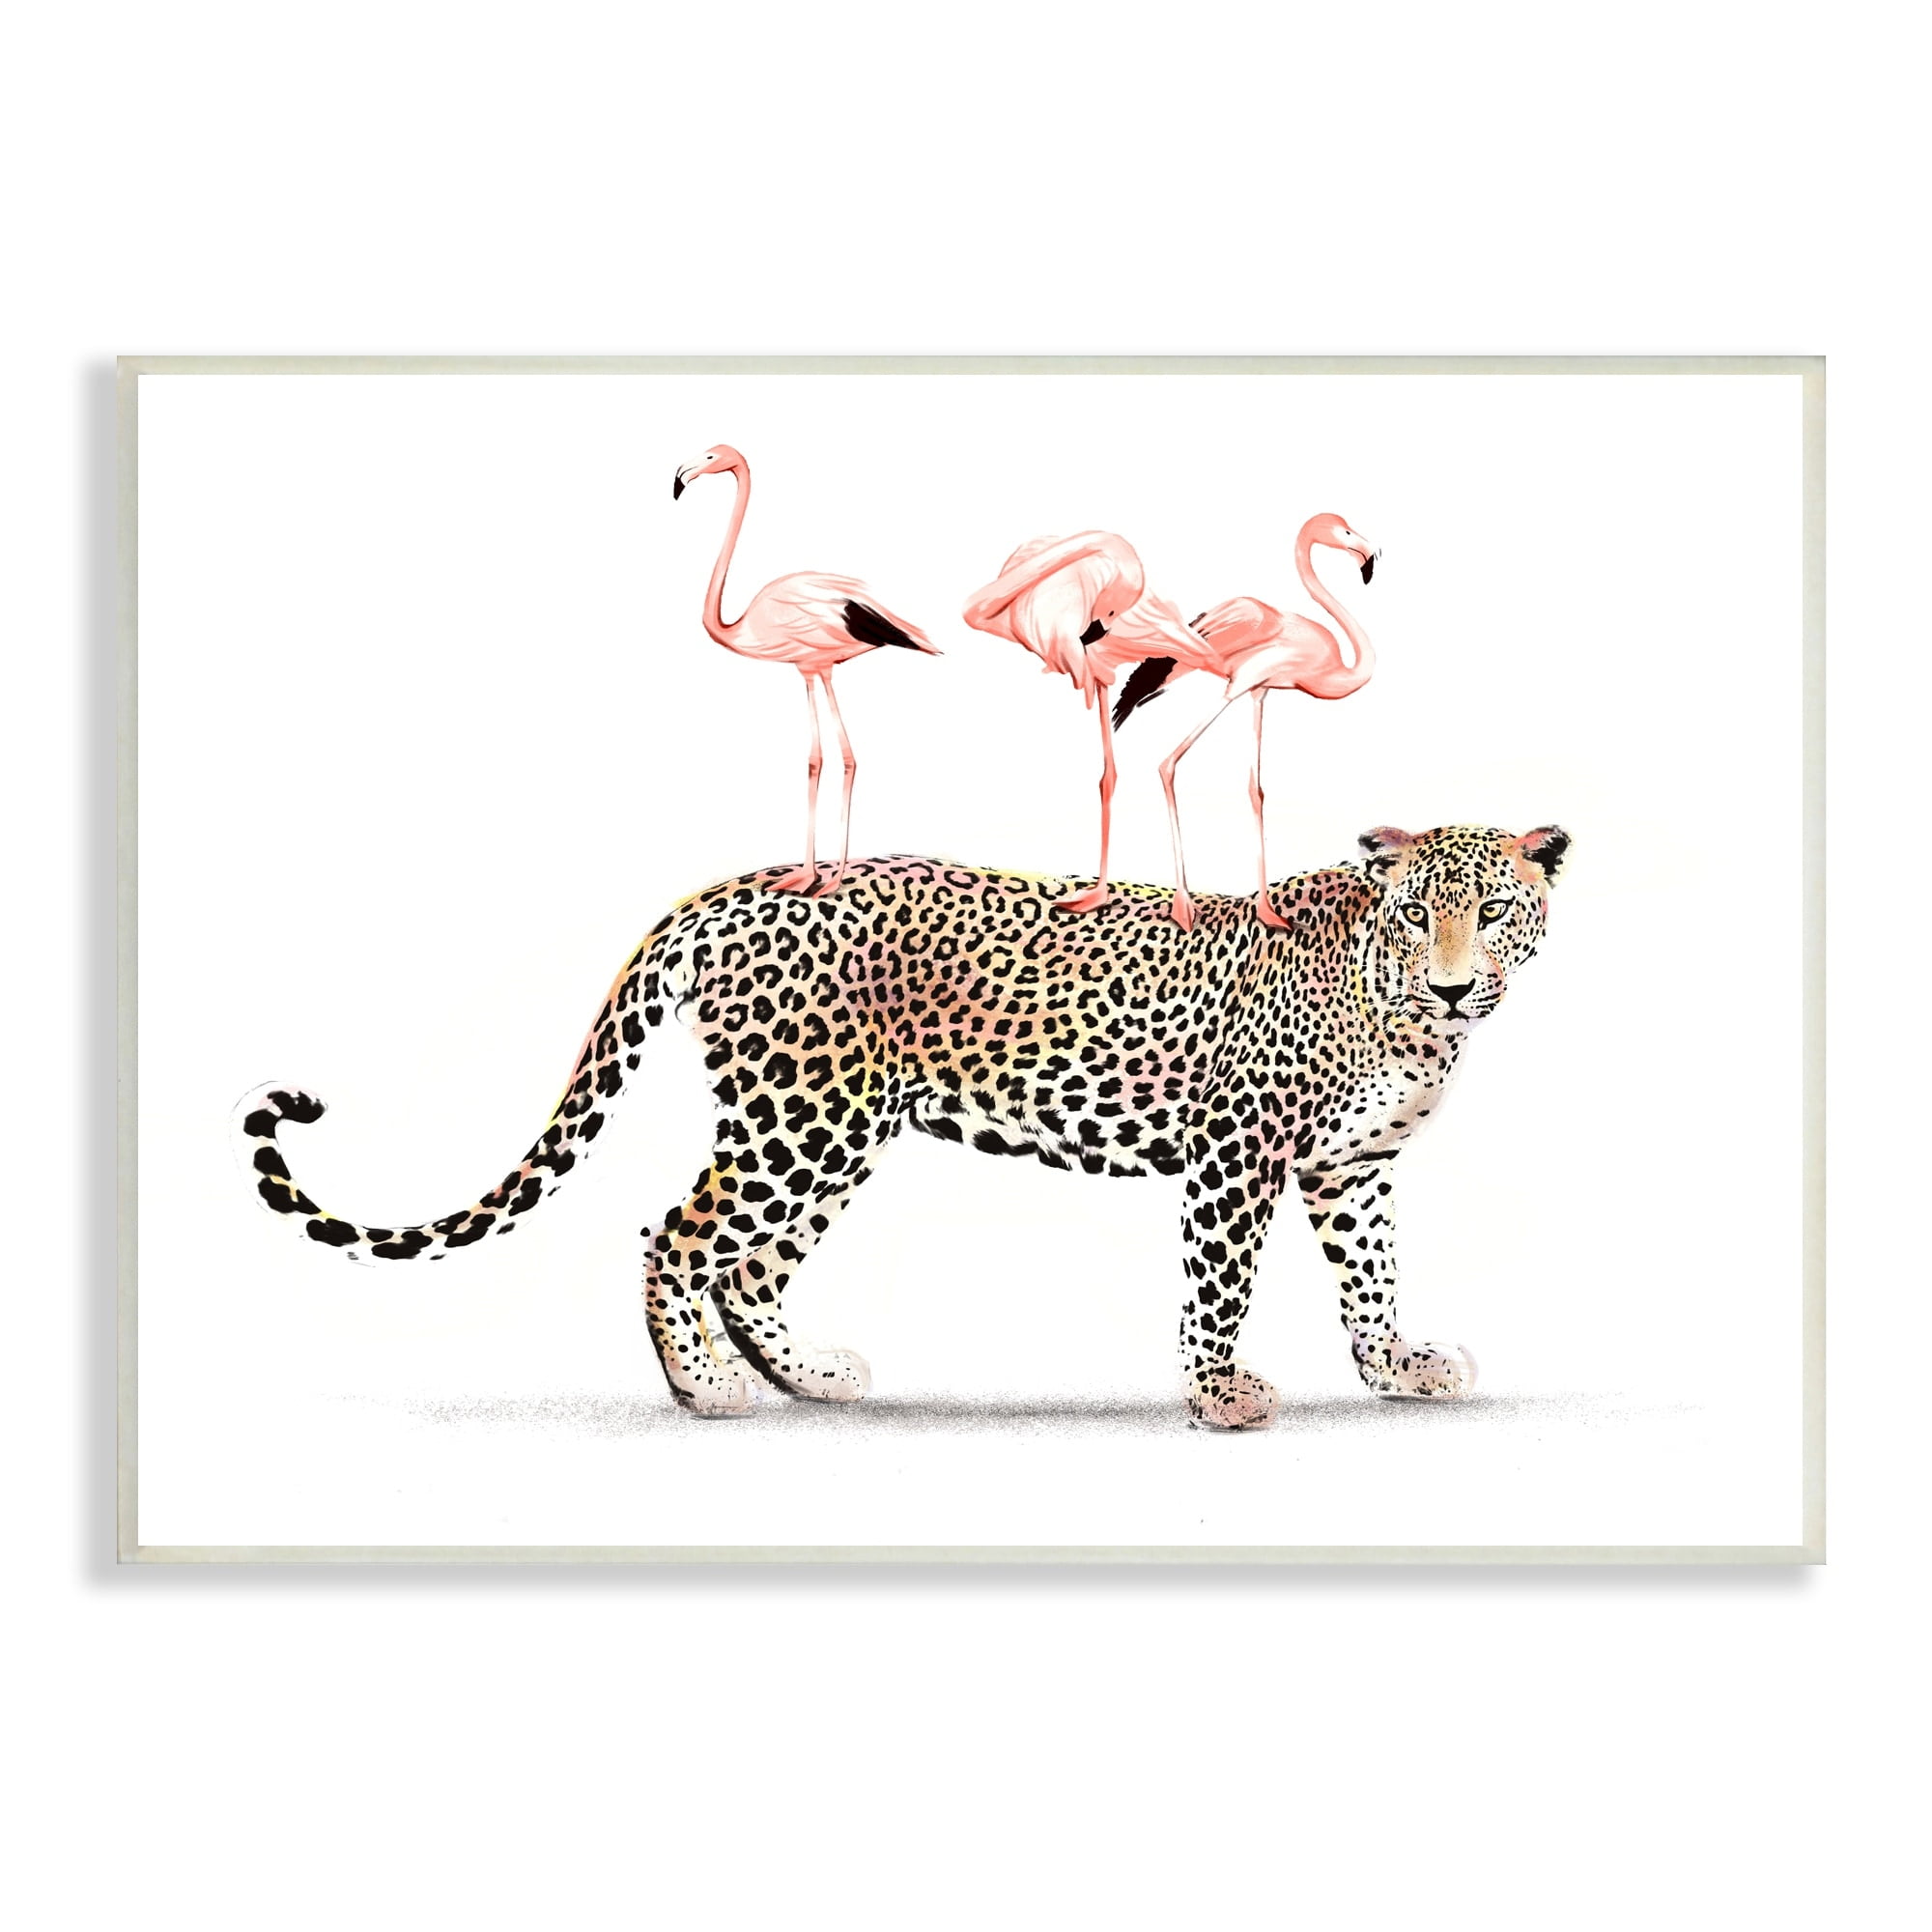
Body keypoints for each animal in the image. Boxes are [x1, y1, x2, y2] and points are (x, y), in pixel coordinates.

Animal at [236, 822, 1570, 1430]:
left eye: (1494, 911)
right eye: (1415, 915)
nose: (1455, 983)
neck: (1407, 1020)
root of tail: (736, 888)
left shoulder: (1352, 1167)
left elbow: (1373, 1276)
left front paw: (1398, 1367)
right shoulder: (1232, 1154)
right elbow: (1219, 1286)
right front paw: (1218, 1394)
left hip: (833, 1129)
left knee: (749, 1261)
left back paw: (810, 1375)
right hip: (802, 1119)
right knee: (677, 1233)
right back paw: (708, 1390)